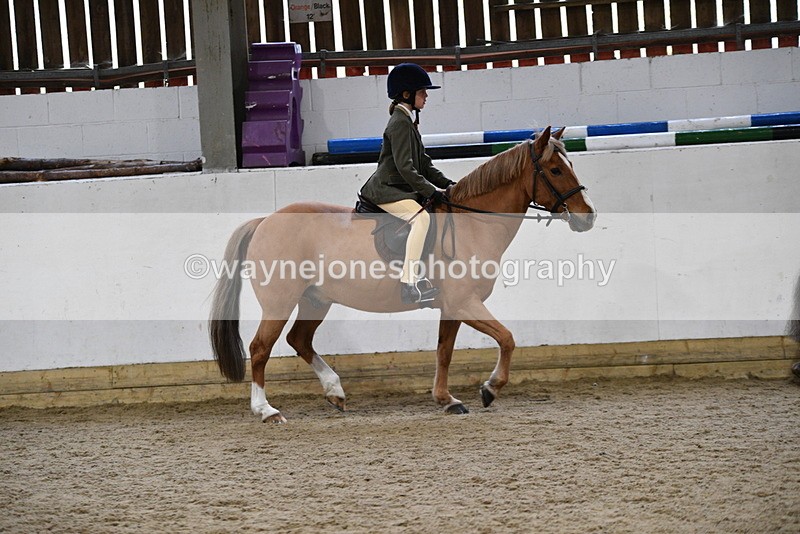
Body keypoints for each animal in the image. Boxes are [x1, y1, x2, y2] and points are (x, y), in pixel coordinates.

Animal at [209, 126, 596, 422]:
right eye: (556, 170)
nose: (588, 216)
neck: (473, 222)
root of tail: (265, 222)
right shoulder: (465, 302)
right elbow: (507, 338)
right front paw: (489, 389)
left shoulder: (452, 307)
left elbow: (444, 352)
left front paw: (447, 400)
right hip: (280, 303)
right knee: (261, 349)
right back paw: (267, 411)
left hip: (315, 299)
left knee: (299, 340)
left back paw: (335, 391)